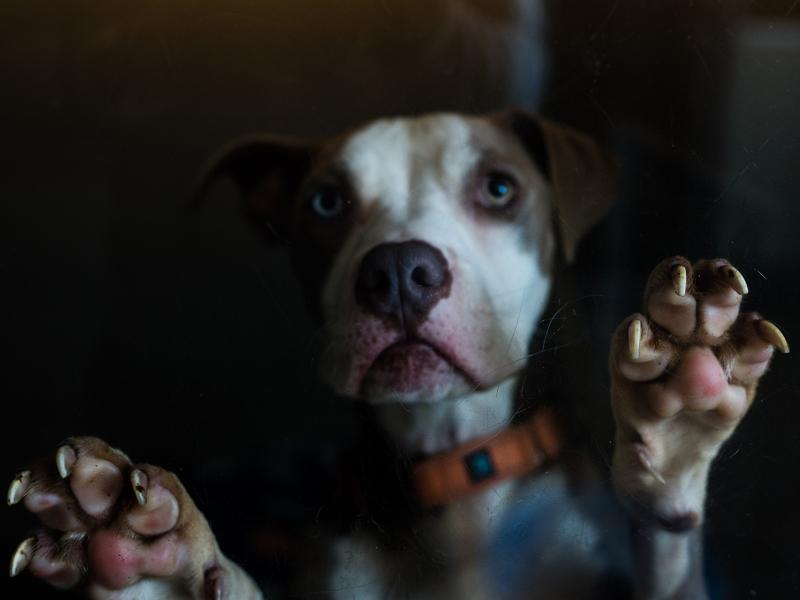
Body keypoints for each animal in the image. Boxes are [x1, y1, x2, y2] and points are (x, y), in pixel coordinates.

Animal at [4, 110, 788, 596]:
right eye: (325, 203)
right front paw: (154, 569)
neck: (453, 469)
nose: (399, 272)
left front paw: (675, 425)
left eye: (498, 187)